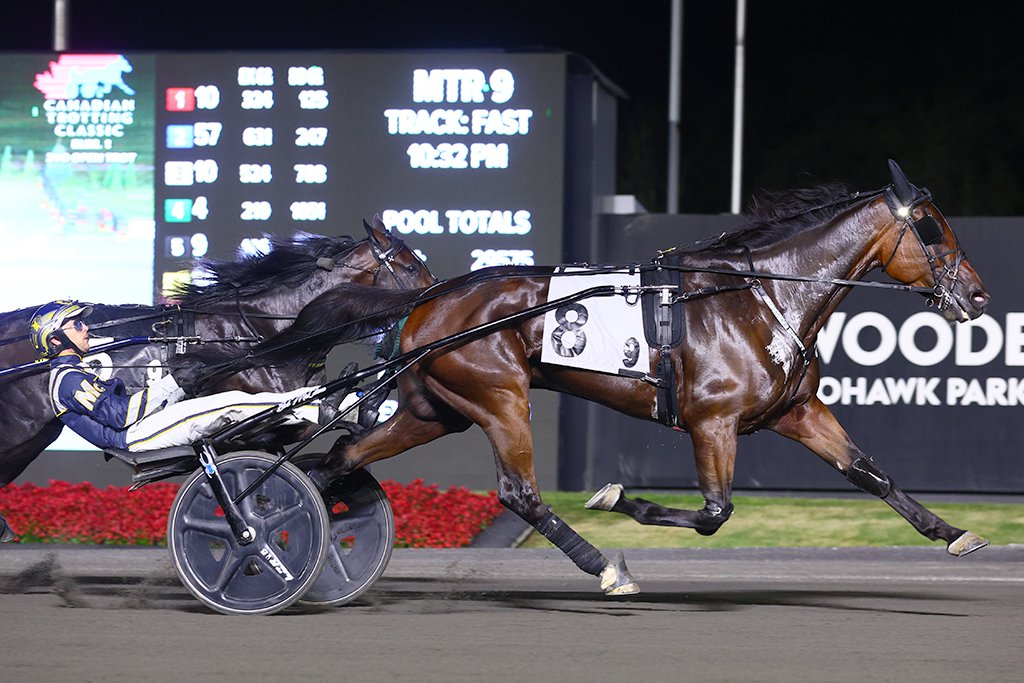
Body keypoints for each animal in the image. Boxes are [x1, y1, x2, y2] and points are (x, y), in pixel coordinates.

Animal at [264, 162, 991, 593]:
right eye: (933, 229)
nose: (979, 296)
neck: (757, 297)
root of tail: (428, 299)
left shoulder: (796, 412)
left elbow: (870, 473)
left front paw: (954, 532)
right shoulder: (713, 421)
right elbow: (714, 513)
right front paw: (622, 500)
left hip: (433, 408)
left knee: (342, 457)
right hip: (500, 395)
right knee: (519, 493)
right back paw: (603, 567)